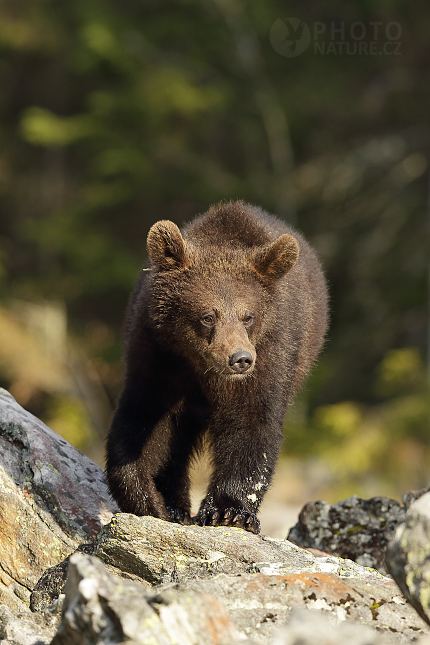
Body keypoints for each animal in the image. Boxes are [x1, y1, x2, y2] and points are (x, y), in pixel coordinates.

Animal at [106, 201, 328, 532]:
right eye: (208, 316)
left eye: (248, 316)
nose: (240, 358)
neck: (201, 367)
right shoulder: (158, 355)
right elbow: (142, 420)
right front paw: (150, 499)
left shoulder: (270, 355)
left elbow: (251, 423)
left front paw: (229, 511)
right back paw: (177, 505)